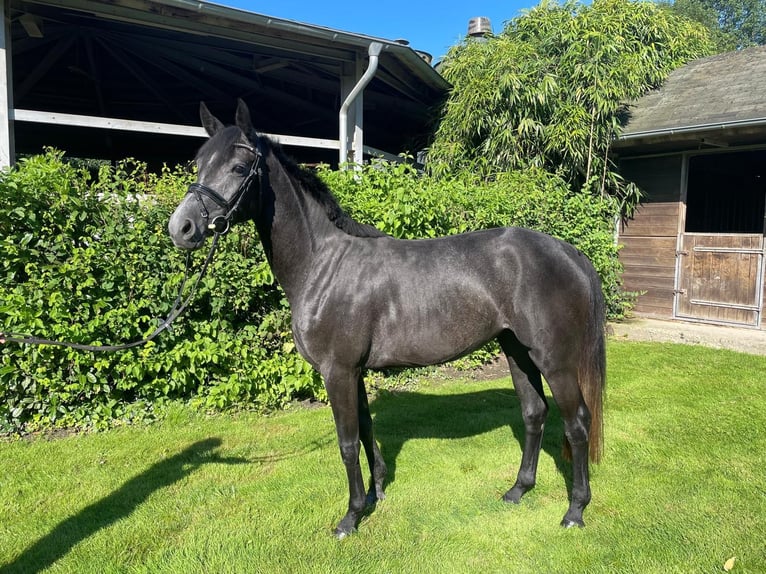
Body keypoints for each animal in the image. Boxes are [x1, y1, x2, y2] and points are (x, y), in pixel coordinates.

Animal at [168, 100, 608, 540]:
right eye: (199, 163)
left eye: (239, 167)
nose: (181, 227)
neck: (323, 265)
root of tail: (568, 251)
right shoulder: (353, 371)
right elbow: (365, 430)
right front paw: (375, 492)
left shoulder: (337, 371)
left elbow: (347, 443)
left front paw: (350, 516)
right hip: (517, 350)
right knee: (534, 413)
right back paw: (518, 489)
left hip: (554, 360)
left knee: (577, 423)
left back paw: (575, 510)